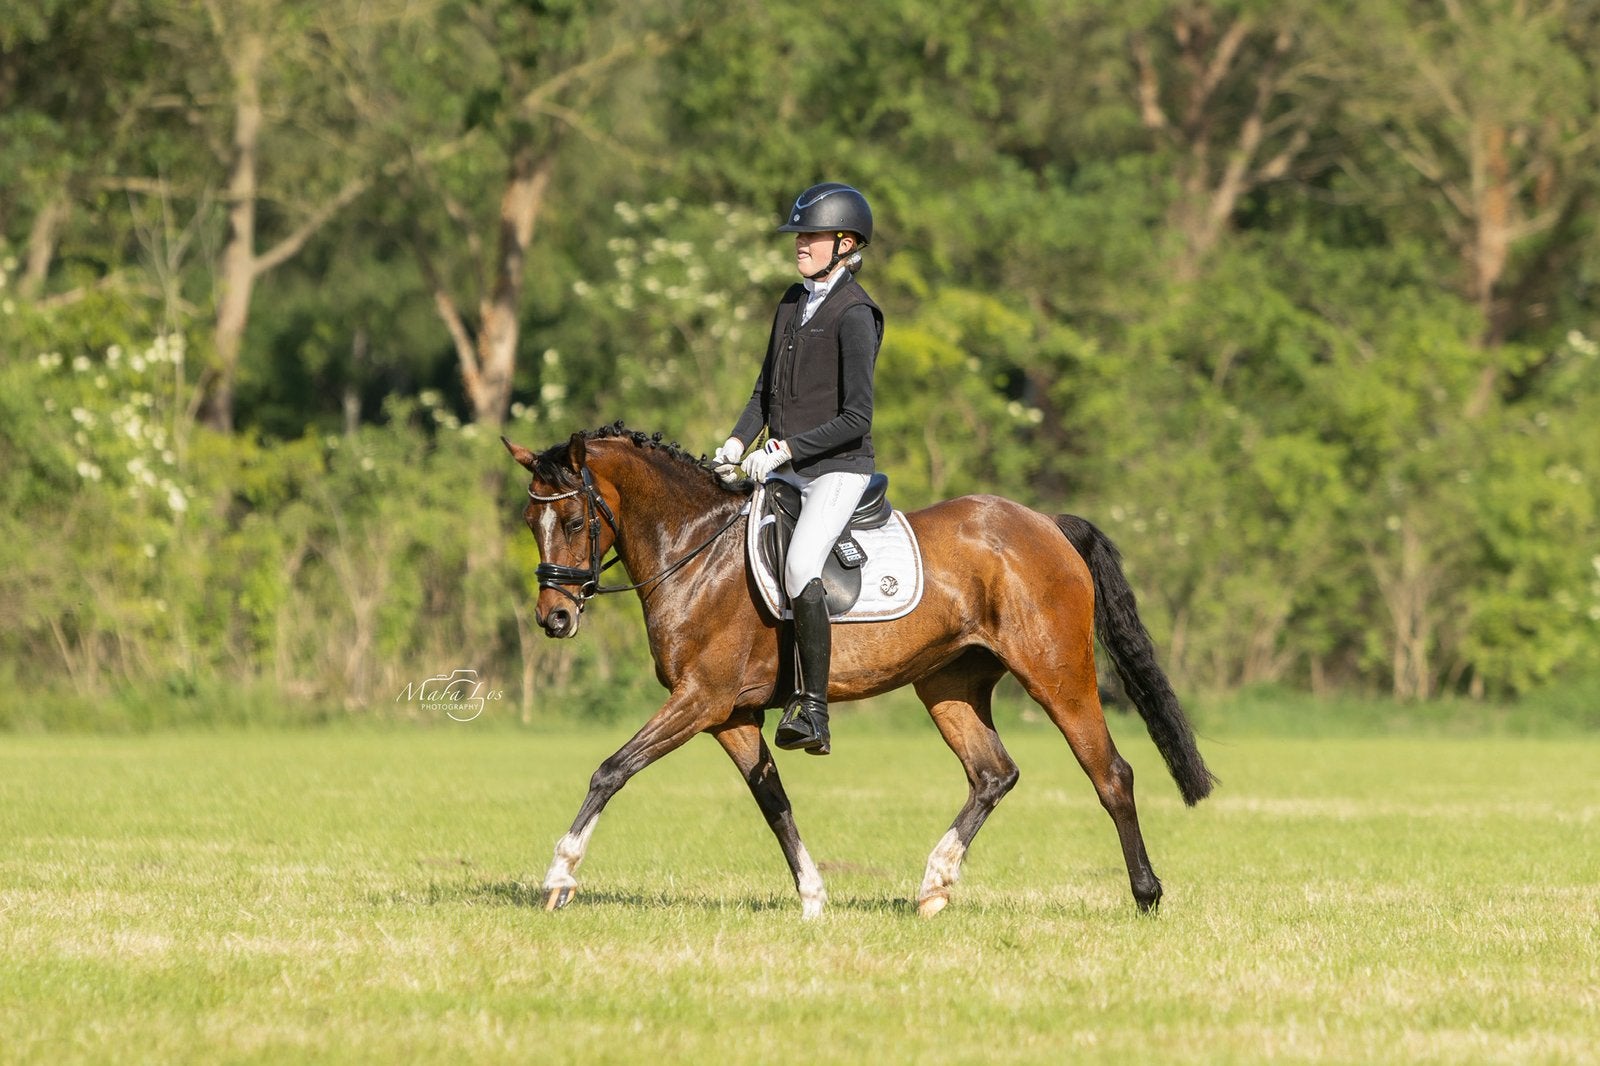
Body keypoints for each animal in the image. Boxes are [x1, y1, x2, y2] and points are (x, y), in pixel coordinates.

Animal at [503, 422, 1215, 919]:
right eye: (530, 520)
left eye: (575, 519)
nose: (554, 618)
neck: (696, 553)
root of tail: (1046, 525)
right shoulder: (730, 715)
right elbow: (773, 801)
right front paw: (814, 897)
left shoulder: (700, 698)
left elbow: (612, 769)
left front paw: (559, 876)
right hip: (948, 686)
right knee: (993, 774)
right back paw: (934, 885)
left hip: (1056, 673)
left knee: (1111, 774)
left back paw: (1146, 895)